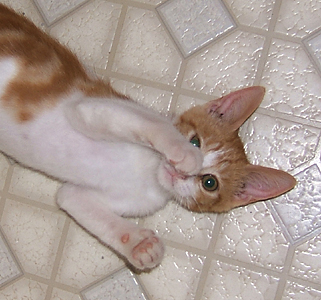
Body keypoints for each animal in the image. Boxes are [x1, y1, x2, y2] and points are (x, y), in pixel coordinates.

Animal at [0, 3, 296, 270]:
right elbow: (152, 125)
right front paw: (183, 153)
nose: (180, 172)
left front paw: (139, 245)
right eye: (195, 141)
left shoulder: (84, 195)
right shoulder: (91, 109)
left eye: (209, 183)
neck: (149, 175)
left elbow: (74, 200)